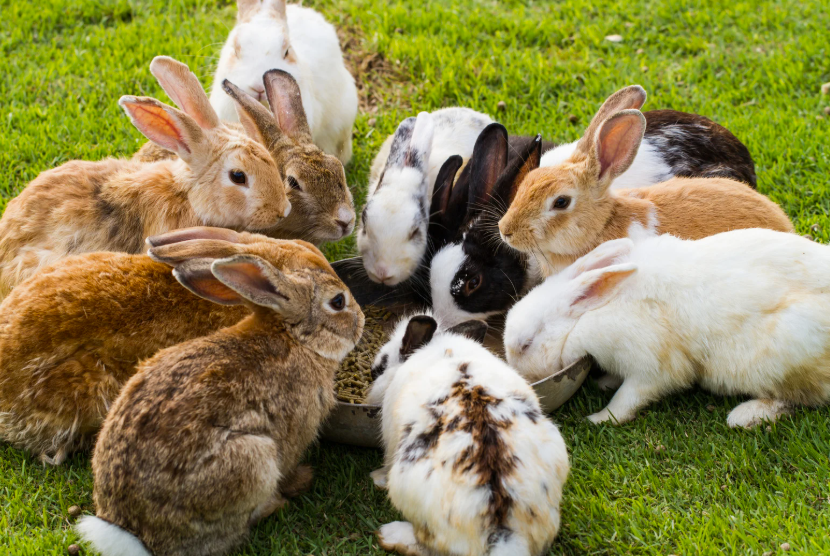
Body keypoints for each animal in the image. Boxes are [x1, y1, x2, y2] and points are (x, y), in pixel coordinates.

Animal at [75, 240, 364, 556]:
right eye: (338, 302)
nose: (362, 319)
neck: (296, 338)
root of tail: (136, 534)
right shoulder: (295, 434)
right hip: (253, 459)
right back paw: (279, 502)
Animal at [504, 230, 830, 428]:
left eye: (526, 344)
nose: (520, 376)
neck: (585, 317)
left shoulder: (651, 367)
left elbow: (628, 399)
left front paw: (599, 418)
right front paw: (605, 382)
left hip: (776, 359)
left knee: (798, 399)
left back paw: (745, 416)